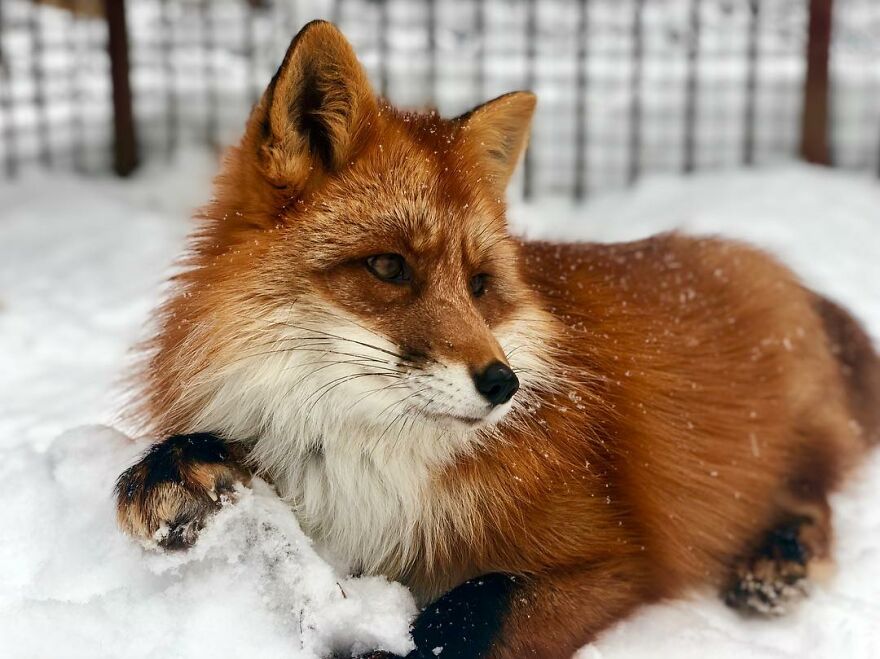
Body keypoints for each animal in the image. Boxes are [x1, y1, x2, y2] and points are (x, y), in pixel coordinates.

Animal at [114, 20, 880, 659]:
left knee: (815, 494)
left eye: (480, 284)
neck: (356, 456)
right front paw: (179, 469)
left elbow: (469, 611)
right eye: (389, 267)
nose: (503, 384)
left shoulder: (613, 556)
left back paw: (780, 558)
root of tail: (767, 263)